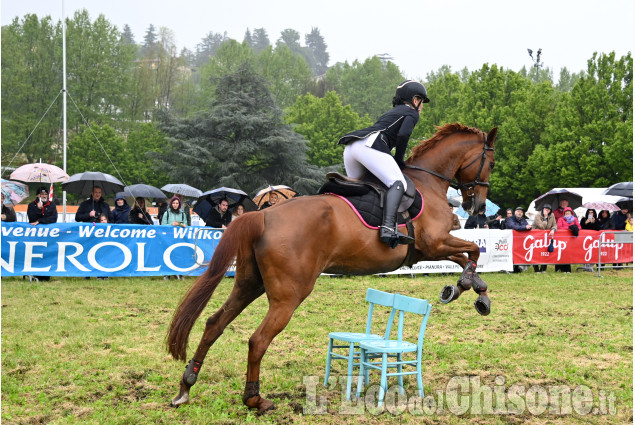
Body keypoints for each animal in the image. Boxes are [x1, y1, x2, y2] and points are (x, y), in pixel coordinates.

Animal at [168, 121, 496, 410]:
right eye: (491, 163)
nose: (477, 207)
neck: (429, 182)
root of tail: (262, 215)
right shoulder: (435, 243)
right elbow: (473, 251)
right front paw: (465, 288)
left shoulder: (428, 250)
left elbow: (468, 257)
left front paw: (476, 290)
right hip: (288, 296)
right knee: (258, 340)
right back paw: (254, 399)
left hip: (250, 284)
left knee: (214, 324)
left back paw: (186, 386)